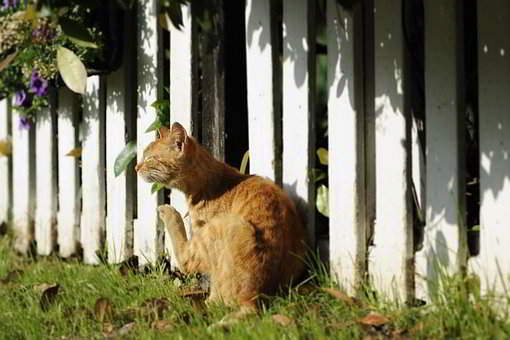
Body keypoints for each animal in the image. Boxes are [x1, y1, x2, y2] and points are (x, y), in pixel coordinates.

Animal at [135, 123, 308, 310]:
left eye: (150, 158)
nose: (136, 167)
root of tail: (253, 300)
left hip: (221, 225)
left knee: (185, 260)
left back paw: (167, 211)